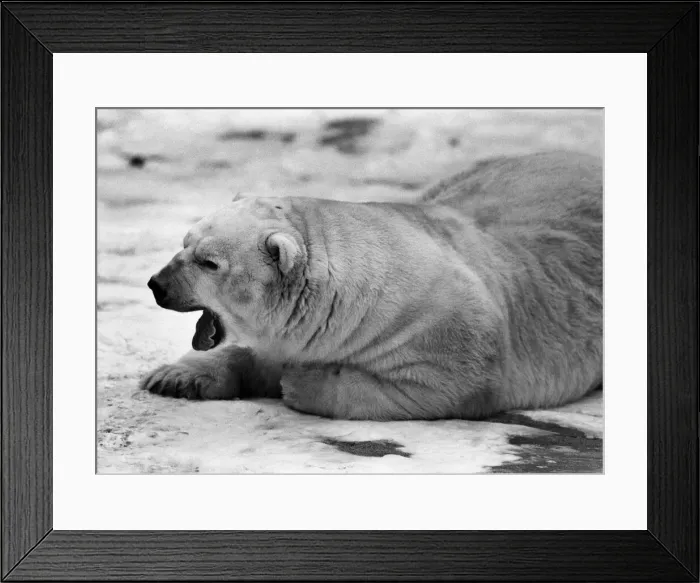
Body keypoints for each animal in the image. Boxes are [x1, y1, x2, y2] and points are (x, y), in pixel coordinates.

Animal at [141, 151, 602, 420]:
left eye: (209, 262)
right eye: (184, 242)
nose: (157, 285)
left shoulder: (440, 330)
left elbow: (445, 387)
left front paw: (301, 381)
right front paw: (173, 377)